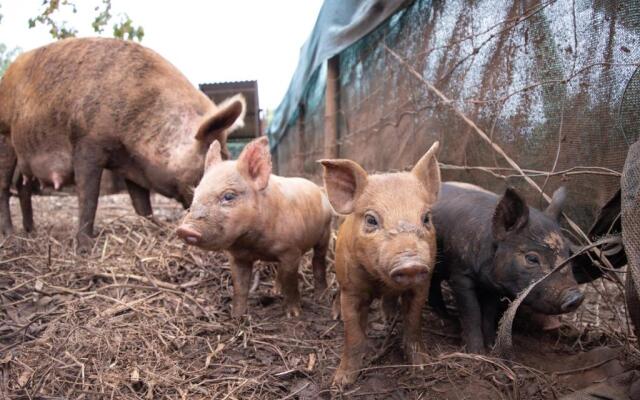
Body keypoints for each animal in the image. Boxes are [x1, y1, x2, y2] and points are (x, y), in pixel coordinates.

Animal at [0, 37, 245, 245]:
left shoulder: (131, 166)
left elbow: (141, 203)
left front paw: (153, 226)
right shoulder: (87, 144)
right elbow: (88, 196)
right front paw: (85, 245)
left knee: (22, 187)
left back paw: (31, 231)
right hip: (5, 137)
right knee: (4, 187)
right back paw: (10, 235)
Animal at [176, 138, 332, 318]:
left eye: (228, 196)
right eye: (195, 194)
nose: (184, 230)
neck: (254, 244)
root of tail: (320, 190)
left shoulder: (292, 251)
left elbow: (291, 283)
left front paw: (294, 315)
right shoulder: (237, 256)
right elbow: (240, 287)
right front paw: (236, 317)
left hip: (326, 232)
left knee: (318, 260)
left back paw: (321, 297)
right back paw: (274, 292)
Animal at [322, 141, 442, 388]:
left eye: (426, 218)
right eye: (371, 219)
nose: (410, 264)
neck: (380, 283)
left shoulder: (421, 284)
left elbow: (413, 324)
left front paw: (423, 368)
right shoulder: (351, 289)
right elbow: (353, 334)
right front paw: (340, 383)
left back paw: (387, 318)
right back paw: (336, 316)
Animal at [430, 182, 584, 354]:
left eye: (568, 254)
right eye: (532, 258)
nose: (576, 297)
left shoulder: (493, 286)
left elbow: (489, 314)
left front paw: (491, 348)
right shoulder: (460, 275)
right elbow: (472, 312)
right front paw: (477, 353)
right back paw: (444, 317)